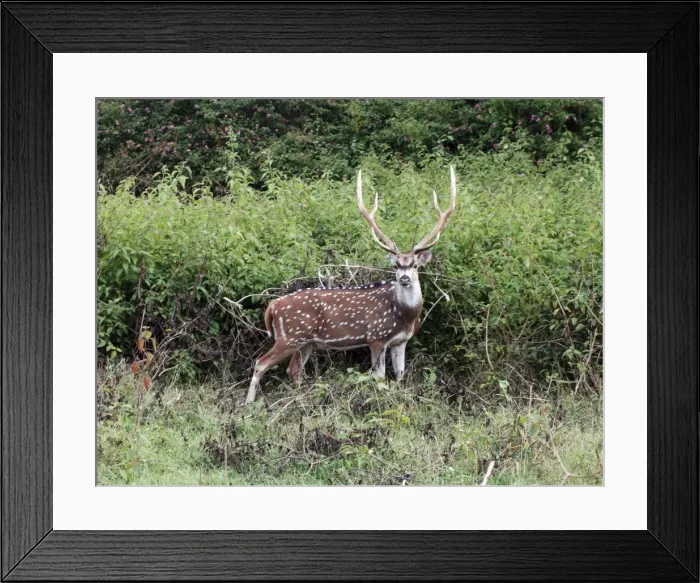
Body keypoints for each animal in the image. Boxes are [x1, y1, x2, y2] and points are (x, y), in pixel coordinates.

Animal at [245, 166, 457, 404]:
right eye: (395, 265)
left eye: (414, 265)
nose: (404, 279)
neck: (405, 315)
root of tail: (272, 307)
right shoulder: (376, 336)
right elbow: (379, 377)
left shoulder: (401, 341)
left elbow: (400, 376)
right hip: (289, 336)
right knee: (261, 363)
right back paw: (249, 404)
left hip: (305, 342)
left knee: (294, 370)